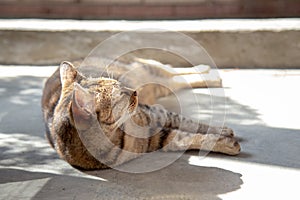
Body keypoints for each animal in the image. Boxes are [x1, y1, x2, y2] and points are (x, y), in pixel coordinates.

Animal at [41, 58, 240, 170]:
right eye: (120, 93)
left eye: (119, 83)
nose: (135, 91)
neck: (116, 134)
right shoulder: (158, 138)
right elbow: (186, 138)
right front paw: (225, 141)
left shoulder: (156, 113)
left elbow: (191, 123)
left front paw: (222, 131)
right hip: (160, 83)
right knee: (177, 79)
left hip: (149, 68)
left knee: (175, 71)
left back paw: (209, 71)